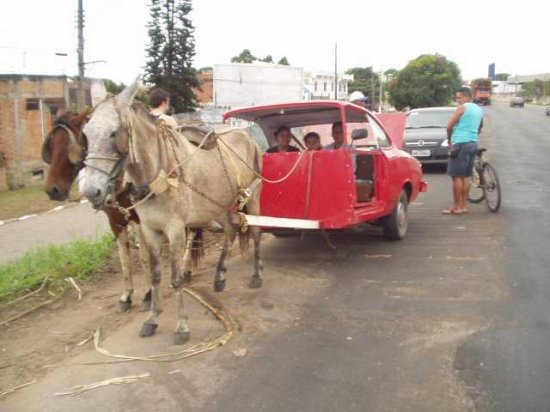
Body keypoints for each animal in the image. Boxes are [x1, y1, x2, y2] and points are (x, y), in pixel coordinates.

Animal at [42, 111, 153, 310]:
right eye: (51, 145)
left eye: (69, 146)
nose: (52, 190)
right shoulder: (115, 221)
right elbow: (124, 258)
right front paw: (126, 296)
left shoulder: (138, 219)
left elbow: (143, 256)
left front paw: (149, 294)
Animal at [80, 78, 266, 344]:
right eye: (85, 134)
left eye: (114, 132)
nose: (90, 190)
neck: (161, 174)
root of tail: (246, 136)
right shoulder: (150, 230)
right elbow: (156, 274)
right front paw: (151, 318)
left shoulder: (176, 230)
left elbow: (176, 278)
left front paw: (182, 327)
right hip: (219, 204)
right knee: (230, 231)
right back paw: (219, 276)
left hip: (253, 197)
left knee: (257, 232)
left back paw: (256, 275)